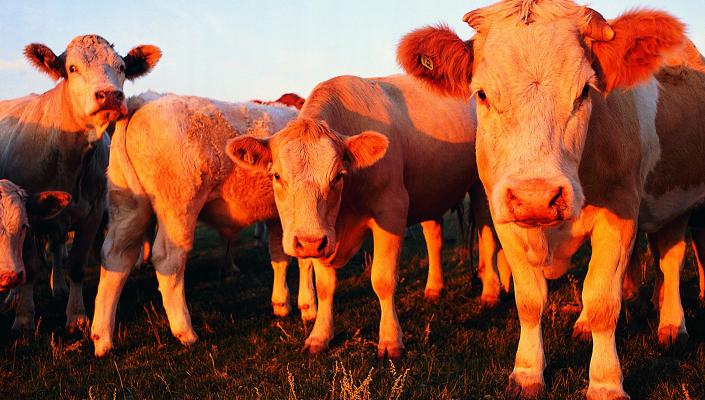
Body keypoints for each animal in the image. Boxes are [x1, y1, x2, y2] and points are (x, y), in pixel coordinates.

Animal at [0, 35, 160, 332]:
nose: (109, 95)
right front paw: (24, 316)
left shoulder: (92, 214)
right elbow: (30, 268)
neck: (67, 156)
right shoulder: (29, 215)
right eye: (72, 68)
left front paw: (75, 315)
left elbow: (75, 265)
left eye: (122, 67)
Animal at [88, 93, 302, 356]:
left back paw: (102, 338)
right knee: (168, 260)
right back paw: (185, 332)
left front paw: (282, 303)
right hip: (178, 209)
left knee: (115, 259)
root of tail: (144, 101)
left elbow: (280, 256)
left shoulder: (276, 216)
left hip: (129, 208)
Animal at [228, 74, 504, 360]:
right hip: (430, 191)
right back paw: (434, 288)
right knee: (434, 238)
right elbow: (325, 285)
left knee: (487, 237)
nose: (308, 242)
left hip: (480, 187)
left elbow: (382, 279)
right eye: (277, 176)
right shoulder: (327, 232)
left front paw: (390, 340)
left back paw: (491, 292)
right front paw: (319, 335)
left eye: (337, 176)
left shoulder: (391, 210)